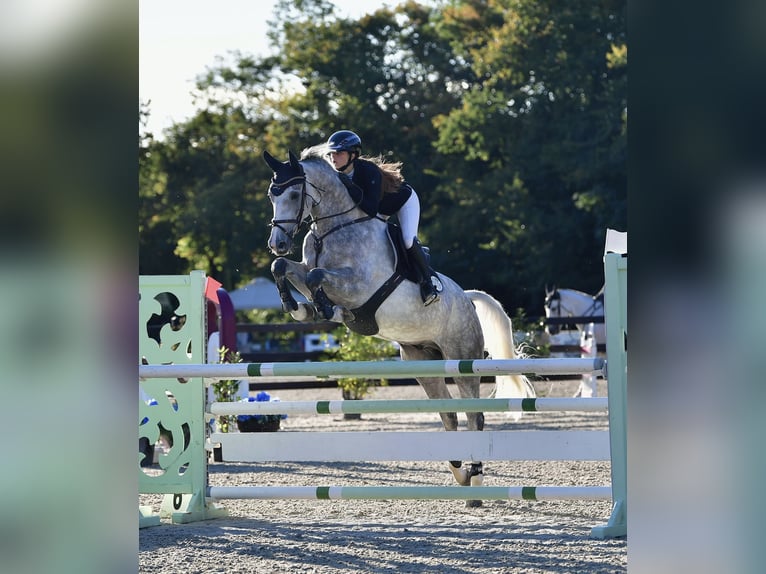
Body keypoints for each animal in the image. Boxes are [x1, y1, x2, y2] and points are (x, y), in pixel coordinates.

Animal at [263, 147, 535, 506]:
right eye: (272, 194)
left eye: (294, 194)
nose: (277, 243)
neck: (332, 228)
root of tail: (466, 298)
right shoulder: (306, 267)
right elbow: (286, 268)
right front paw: (298, 308)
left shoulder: (359, 286)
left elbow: (316, 276)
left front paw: (325, 309)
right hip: (422, 362)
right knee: (449, 414)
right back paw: (460, 474)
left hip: (462, 359)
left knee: (473, 415)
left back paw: (475, 481)